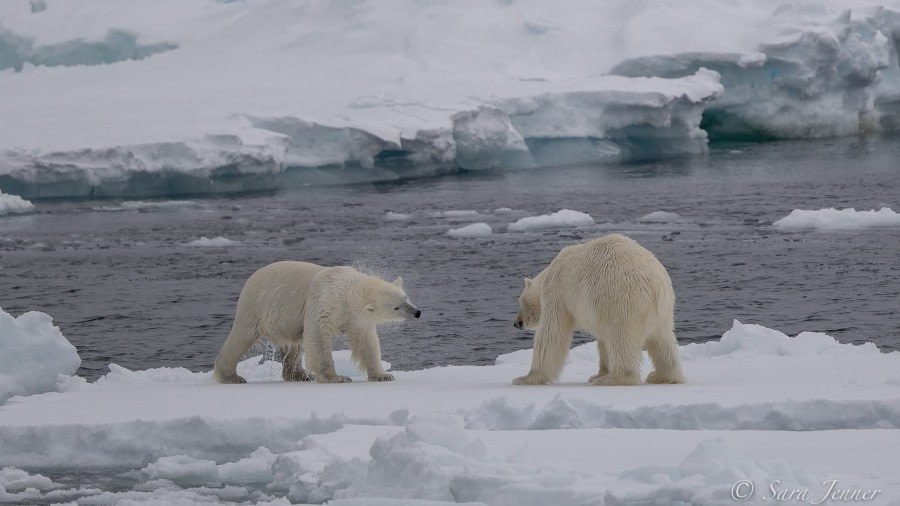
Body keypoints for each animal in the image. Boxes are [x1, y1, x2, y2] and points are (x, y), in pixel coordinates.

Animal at [213, 262, 420, 386]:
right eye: (396, 307)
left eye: (405, 297)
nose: (417, 312)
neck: (348, 290)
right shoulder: (326, 300)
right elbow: (318, 335)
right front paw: (337, 377)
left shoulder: (356, 318)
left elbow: (366, 343)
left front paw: (383, 375)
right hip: (256, 306)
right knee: (242, 337)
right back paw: (231, 377)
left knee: (294, 345)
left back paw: (301, 375)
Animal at [510, 235, 684, 386]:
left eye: (520, 302)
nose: (517, 323)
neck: (549, 273)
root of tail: (655, 285)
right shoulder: (598, 307)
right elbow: (603, 340)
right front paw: (598, 374)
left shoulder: (558, 294)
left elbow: (552, 333)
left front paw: (525, 378)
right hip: (663, 312)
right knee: (663, 341)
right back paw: (663, 376)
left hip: (622, 300)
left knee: (621, 339)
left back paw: (614, 379)